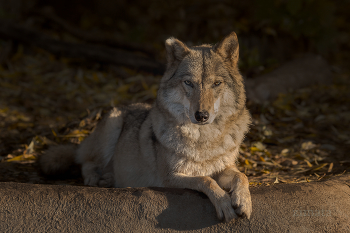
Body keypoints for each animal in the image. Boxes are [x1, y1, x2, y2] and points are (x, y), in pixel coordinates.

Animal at [38, 31, 252, 222]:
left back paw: (108, 178)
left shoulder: (224, 167)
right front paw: (224, 203)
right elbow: (206, 179)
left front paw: (243, 201)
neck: (203, 139)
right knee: (85, 162)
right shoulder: (170, 177)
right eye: (189, 83)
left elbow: (241, 176)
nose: (201, 116)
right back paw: (95, 178)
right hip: (112, 124)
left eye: (216, 83)